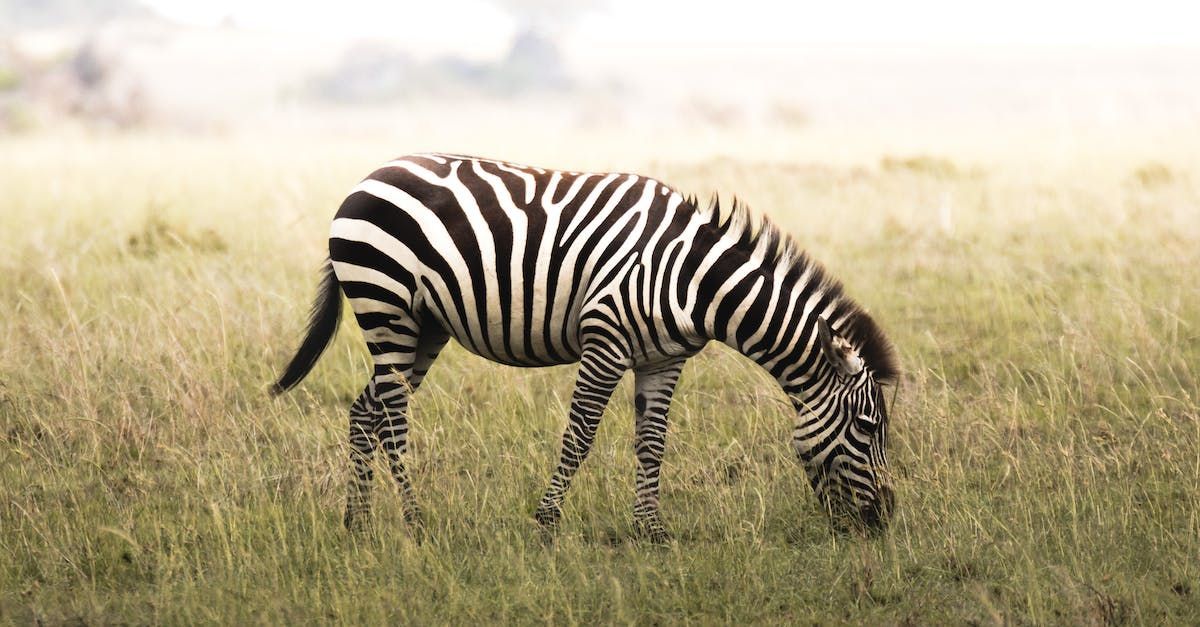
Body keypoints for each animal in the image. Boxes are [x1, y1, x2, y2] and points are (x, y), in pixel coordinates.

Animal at [272, 153, 899, 540]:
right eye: (868, 427)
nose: (886, 518)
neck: (696, 280)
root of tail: (368, 176)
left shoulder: (663, 359)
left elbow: (652, 443)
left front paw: (651, 531)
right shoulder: (605, 338)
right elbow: (579, 437)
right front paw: (546, 523)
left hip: (423, 325)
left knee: (368, 411)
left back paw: (358, 522)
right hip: (386, 306)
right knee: (394, 416)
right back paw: (415, 521)